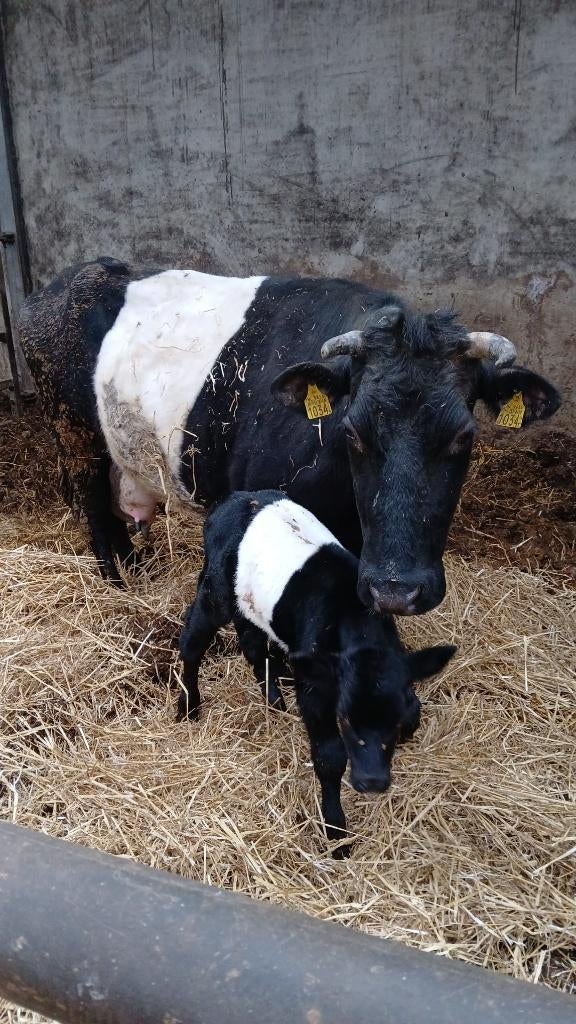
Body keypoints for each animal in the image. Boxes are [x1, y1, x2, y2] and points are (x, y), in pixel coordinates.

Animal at [18, 257, 561, 613]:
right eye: (352, 431)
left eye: (464, 435)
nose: (397, 591)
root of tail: (69, 278)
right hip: (75, 435)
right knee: (94, 507)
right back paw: (119, 581)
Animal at [179, 489, 457, 853]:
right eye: (345, 718)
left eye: (393, 722)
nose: (372, 782)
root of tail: (237, 499)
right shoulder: (315, 687)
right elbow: (329, 756)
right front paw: (336, 830)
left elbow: (413, 707)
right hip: (216, 592)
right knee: (193, 639)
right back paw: (188, 706)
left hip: (249, 600)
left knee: (252, 641)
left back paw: (273, 700)